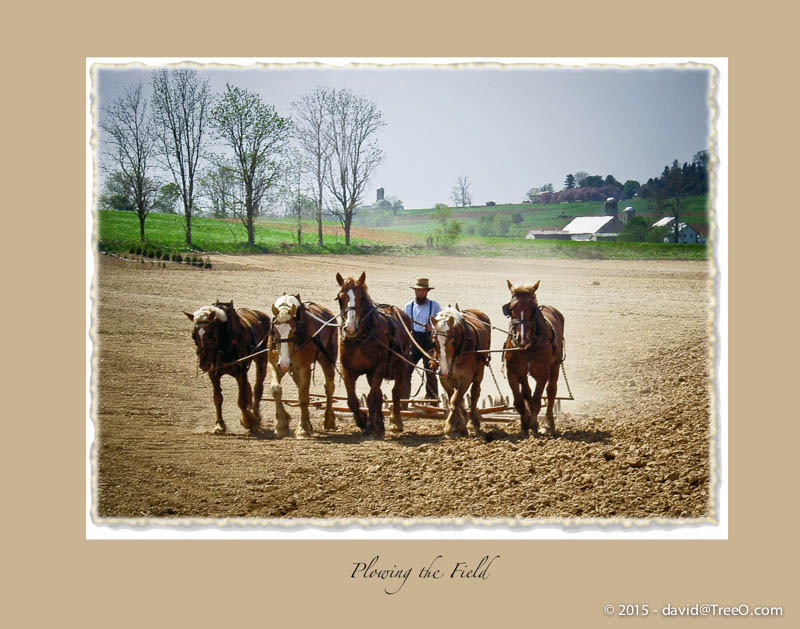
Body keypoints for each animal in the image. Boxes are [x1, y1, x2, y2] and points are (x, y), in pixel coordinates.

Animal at [183, 302, 270, 434]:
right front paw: (219, 424)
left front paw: (248, 421)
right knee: (249, 387)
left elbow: (242, 400)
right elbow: (218, 398)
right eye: (193, 335)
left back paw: (256, 416)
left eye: (211, 335)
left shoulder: (240, 371)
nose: (204, 364)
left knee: (257, 388)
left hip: (261, 359)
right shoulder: (213, 373)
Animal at [268, 294, 338, 436]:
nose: (284, 363)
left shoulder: (304, 367)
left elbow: (303, 398)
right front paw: (281, 424)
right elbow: (276, 390)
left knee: (329, 387)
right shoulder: (274, 364)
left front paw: (303, 428)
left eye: (294, 331)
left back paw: (329, 420)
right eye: (275, 331)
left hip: (327, 359)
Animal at [336, 270, 412, 436]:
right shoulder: (347, 369)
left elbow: (372, 397)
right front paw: (362, 421)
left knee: (396, 392)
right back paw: (380, 423)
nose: (350, 328)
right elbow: (353, 400)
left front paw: (370, 425)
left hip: (400, 365)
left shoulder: (378, 368)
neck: (360, 339)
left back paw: (395, 421)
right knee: (379, 394)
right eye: (340, 298)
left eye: (361, 298)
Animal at [432, 304, 494, 436]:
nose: (444, 370)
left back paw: (472, 423)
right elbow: (453, 398)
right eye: (434, 342)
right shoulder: (444, 379)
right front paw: (458, 424)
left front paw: (450, 426)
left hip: (479, 371)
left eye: (453, 341)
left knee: (475, 393)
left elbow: (455, 400)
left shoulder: (466, 378)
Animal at [504, 280, 564, 436]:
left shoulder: (542, 374)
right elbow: (520, 400)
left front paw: (533, 424)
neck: (529, 346)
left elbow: (536, 400)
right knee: (527, 392)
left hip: (555, 367)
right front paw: (525, 424)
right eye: (511, 308)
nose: (522, 339)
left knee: (551, 391)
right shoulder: (512, 372)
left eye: (532, 308)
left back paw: (550, 423)